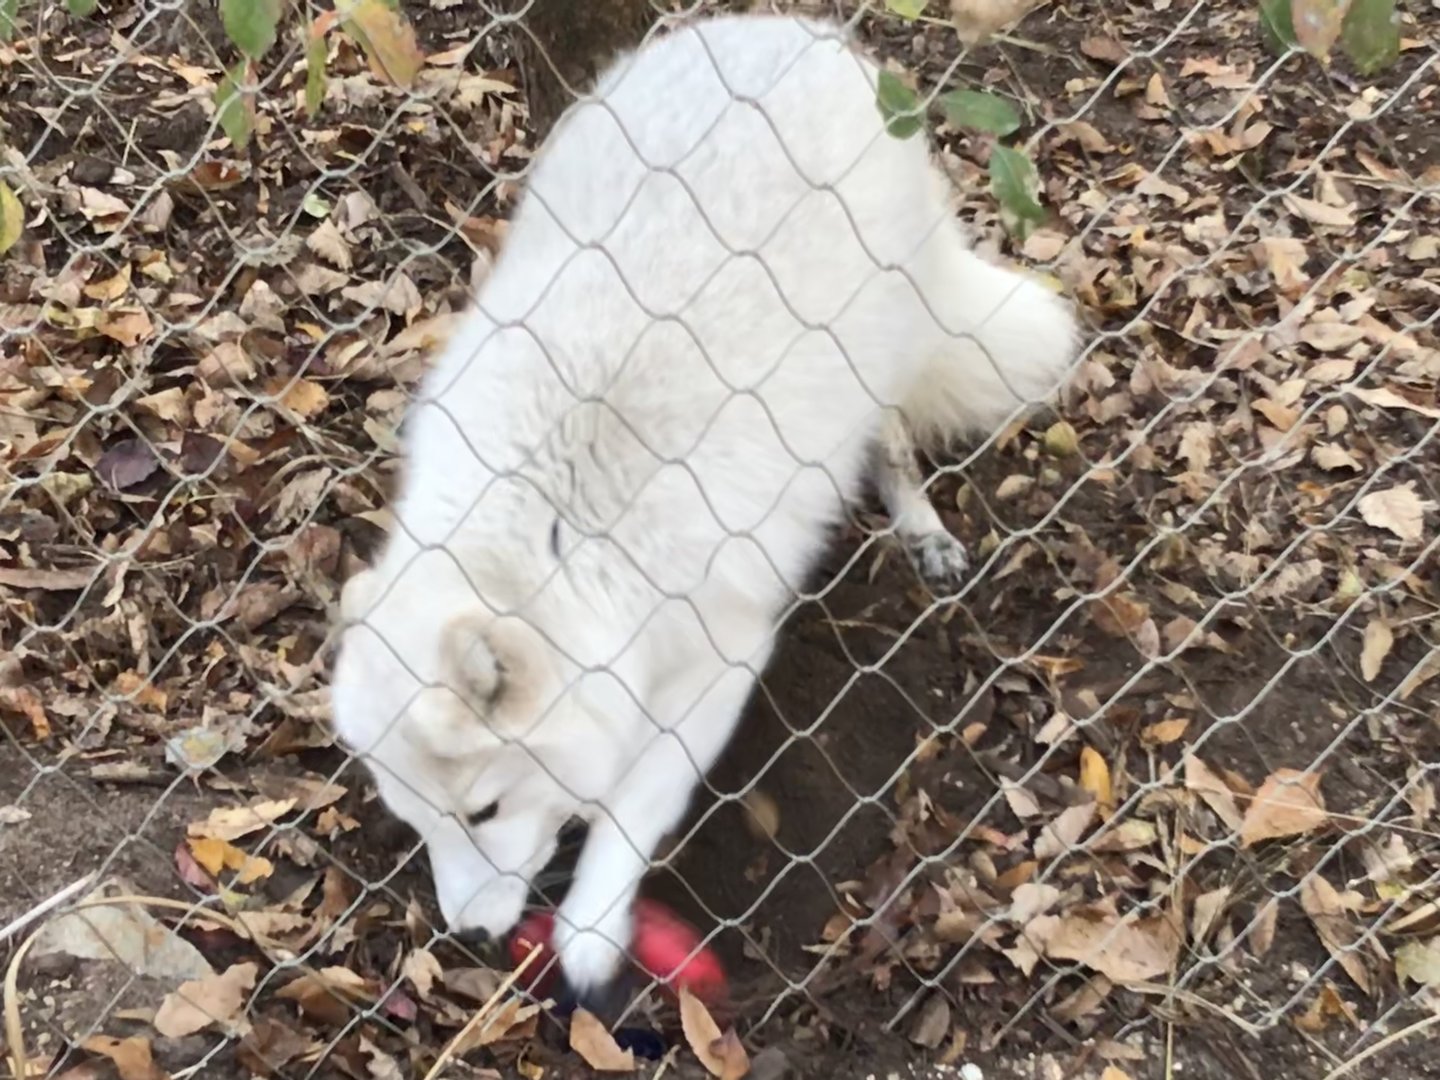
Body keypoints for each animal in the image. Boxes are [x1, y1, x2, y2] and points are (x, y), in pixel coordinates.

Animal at [330, 12, 1079, 999]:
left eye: (485, 810)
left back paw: (919, 527)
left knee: (887, 436)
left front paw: (591, 932)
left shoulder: (722, 654)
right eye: (413, 818)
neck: (563, 531)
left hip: (879, 348)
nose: (472, 936)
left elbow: (633, 804)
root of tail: (802, 31)